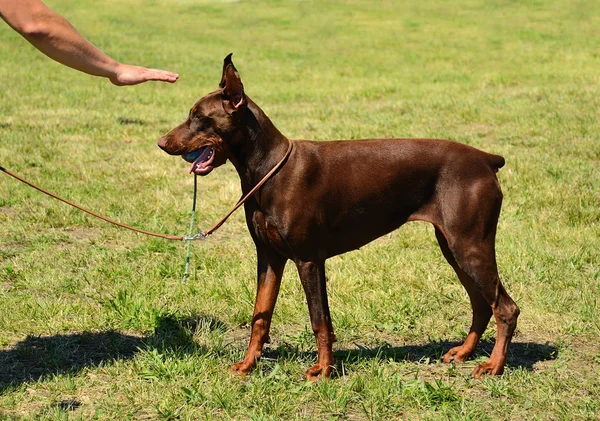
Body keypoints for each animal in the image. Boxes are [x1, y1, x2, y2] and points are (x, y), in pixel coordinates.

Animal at [159, 54, 520, 378]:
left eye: (198, 117)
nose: (162, 142)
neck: (268, 170)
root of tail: (486, 159)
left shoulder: (308, 259)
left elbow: (319, 319)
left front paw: (323, 370)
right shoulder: (269, 256)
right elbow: (260, 315)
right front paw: (248, 366)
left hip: (469, 245)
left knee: (505, 307)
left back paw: (494, 366)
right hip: (452, 247)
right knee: (481, 303)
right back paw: (464, 353)